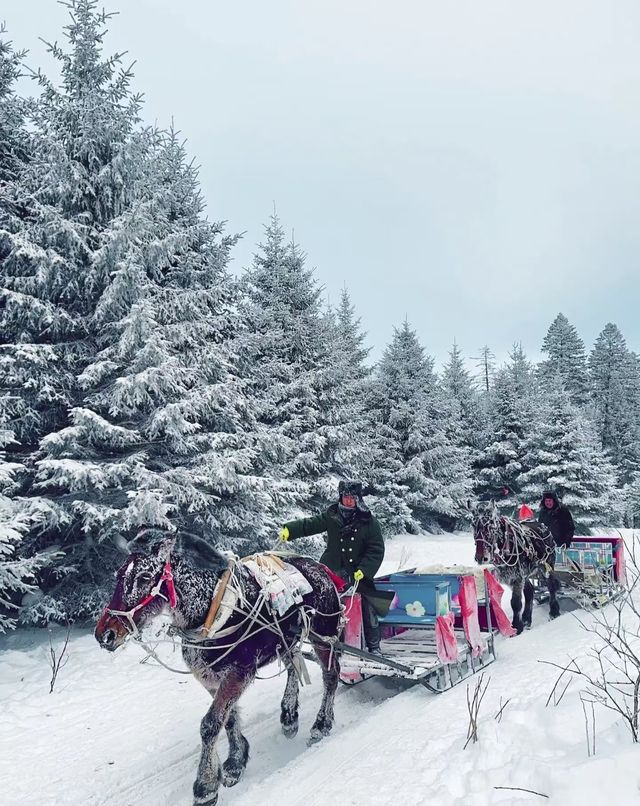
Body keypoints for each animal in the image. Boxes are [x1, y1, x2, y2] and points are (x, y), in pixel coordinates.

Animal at [94, 536, 342, 806]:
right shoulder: (210, 678)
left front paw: (205, 786)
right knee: (293, 664)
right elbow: (228, 719)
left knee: (331, 675)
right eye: (119, 575)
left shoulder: (239, 673)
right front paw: (236, 761)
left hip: (324, 637)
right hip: (285, 639)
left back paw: (321, 724)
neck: (213, 610)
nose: (104, 634)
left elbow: (210, 724)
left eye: (144, 576)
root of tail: (321, 568)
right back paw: (289, 716)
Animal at [470, 502, 560, 636]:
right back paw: (527, 619)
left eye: (491, 524)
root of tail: (544, 527)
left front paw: (517, 626)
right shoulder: (510, 578)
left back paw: (554, 612)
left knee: (551, 586)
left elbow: (515, 603)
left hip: (546, 566)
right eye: (473, 524)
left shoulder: (517, 578)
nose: (481, 557)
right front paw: (519, 624)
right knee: (530, 591)